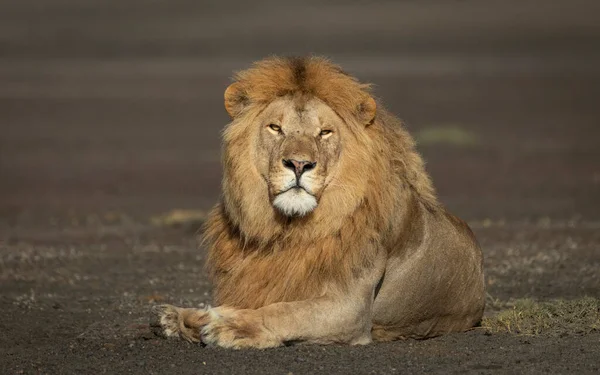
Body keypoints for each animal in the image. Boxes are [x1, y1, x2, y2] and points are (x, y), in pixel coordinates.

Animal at [157, 55, 486, 350]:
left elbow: (286, 311)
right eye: (275, 128)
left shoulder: (350, 309)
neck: (289, 228)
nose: (299, 164)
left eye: (325, 132)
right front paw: (180, 317)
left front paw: (230, 326)